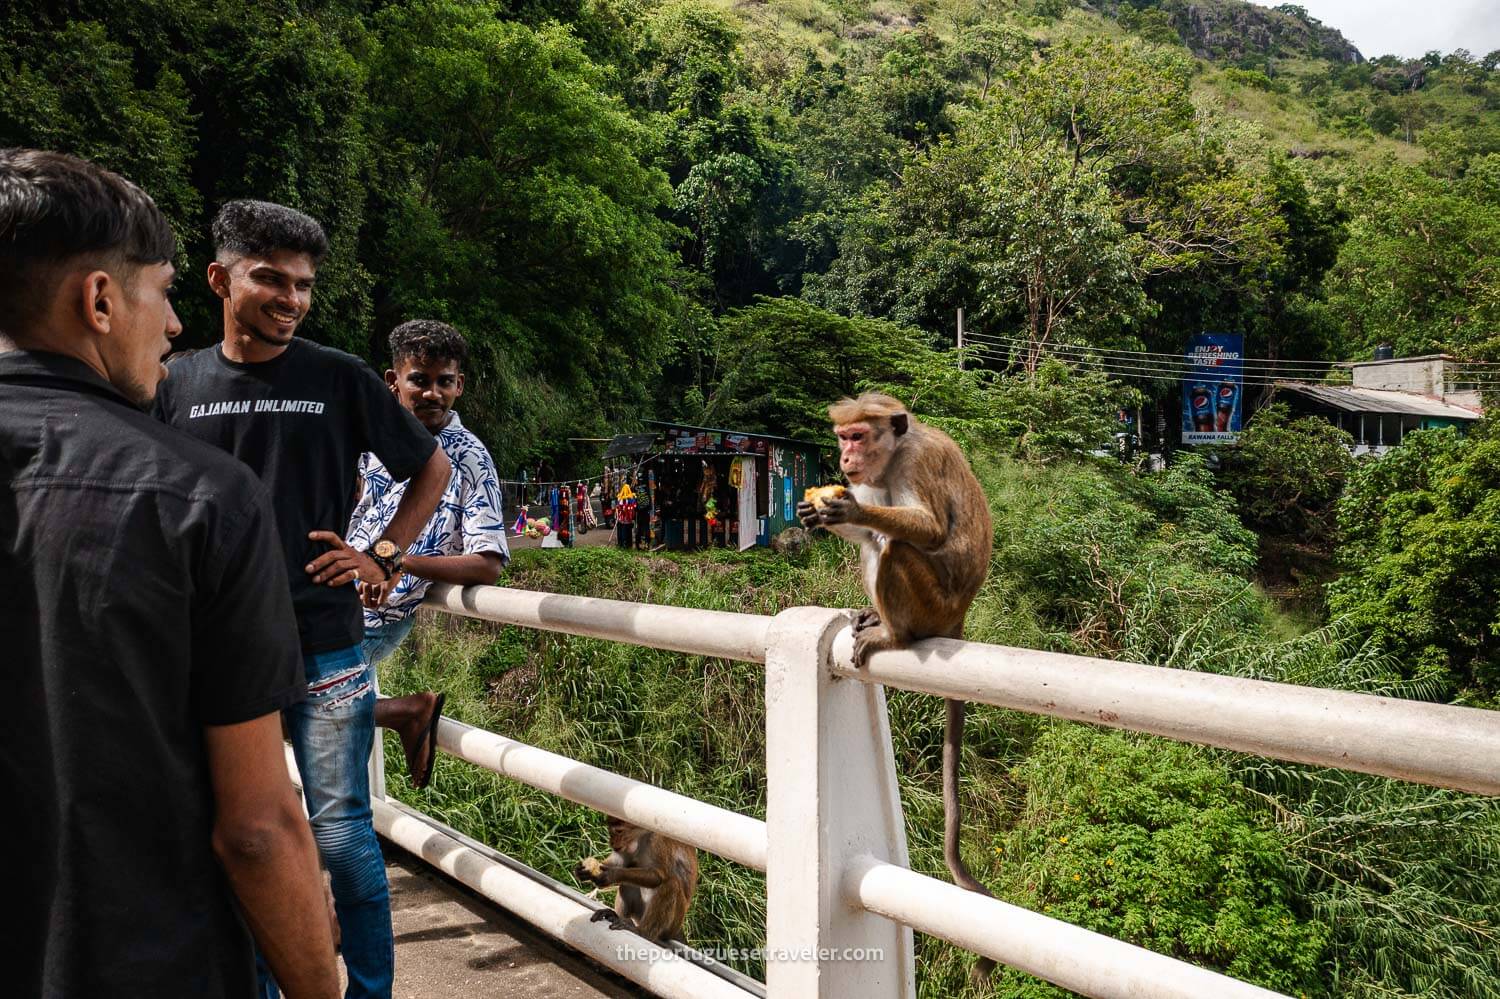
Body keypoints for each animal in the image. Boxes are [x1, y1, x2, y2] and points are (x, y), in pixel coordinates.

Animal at [576, 810, 699, 942]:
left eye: (619, 831)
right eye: (610, 830)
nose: (612, 842)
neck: (643, 836)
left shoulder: (657, 841)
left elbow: (658, 876)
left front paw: (612, 875)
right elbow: (618, 863)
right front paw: (588, 867)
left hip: (673, 924)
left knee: (671, 884)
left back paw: (642, 932)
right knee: (628, 883)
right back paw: (615, 915)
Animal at [798, 390, 996, 978]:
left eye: (857, 436)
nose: (844, 458)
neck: (890, 456)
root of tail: (958, 618)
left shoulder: (916, 462)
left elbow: (925, 529)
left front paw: (850, 508)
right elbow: (867, 535)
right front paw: (815, 511)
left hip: (933, 605)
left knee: (897, 547)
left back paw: (893, 633)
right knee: (879, 545)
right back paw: (873, 617)